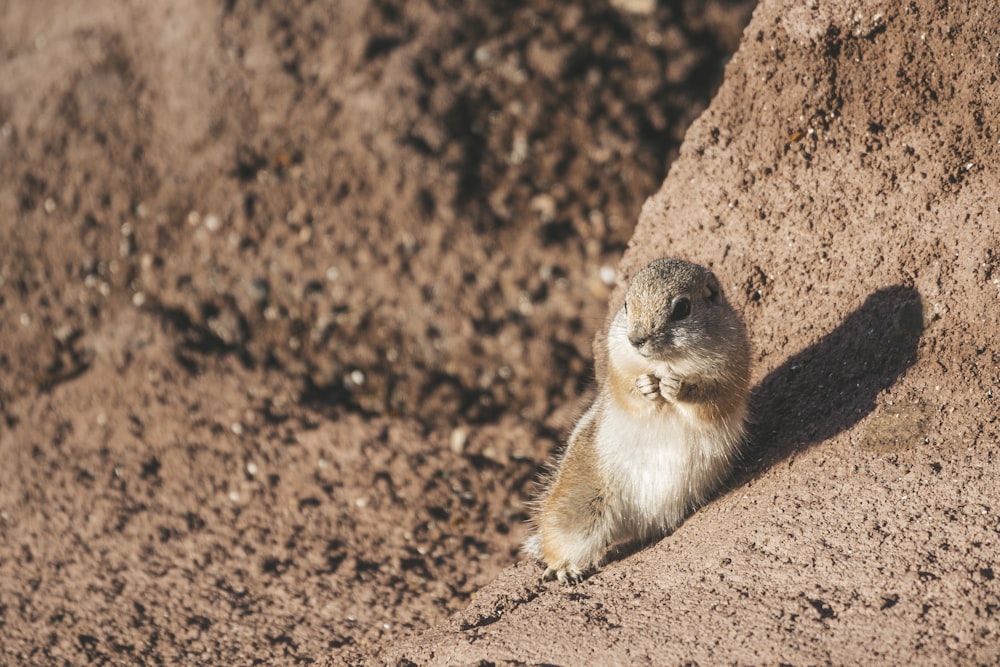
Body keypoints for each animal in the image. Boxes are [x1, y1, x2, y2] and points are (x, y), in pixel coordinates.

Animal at [524, 258, 752, 580]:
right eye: (626, 305)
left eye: (682, 308)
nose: (635, 339)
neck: (666, 362)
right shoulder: (618, 367)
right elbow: (626, 391)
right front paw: (646, 386)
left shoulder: (732, 371)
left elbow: (711, 398)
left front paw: (677, 387)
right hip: (582, 510)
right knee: (556, 541)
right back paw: (564, 569)